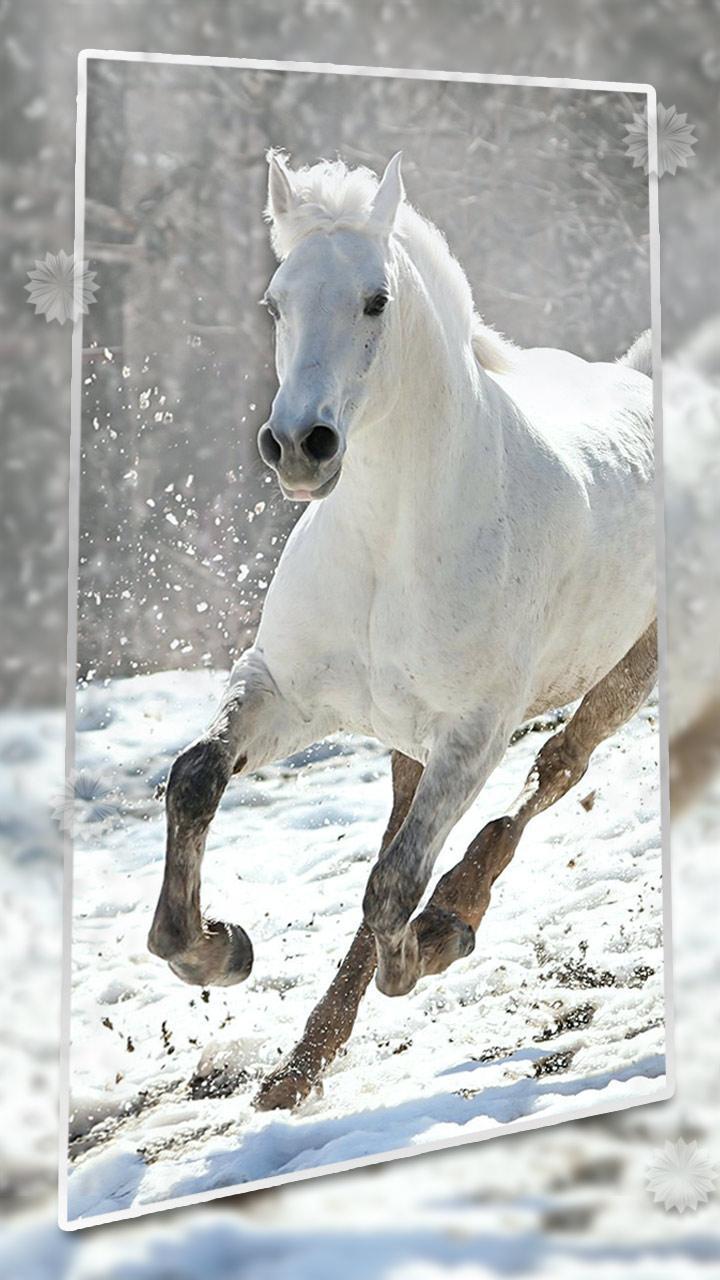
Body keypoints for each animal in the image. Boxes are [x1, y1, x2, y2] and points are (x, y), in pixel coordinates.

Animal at [148, 151, 658, 1112]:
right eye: (275, 302)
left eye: (375, 300)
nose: (298, 446)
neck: (391, 541)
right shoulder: (285, 692)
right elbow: (196, 779)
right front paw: (216, 949)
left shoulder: (473, 733)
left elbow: (392, 889)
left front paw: (433, 944)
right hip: (403, 733)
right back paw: (296, 1068)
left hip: (628, 673)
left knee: (555, 770)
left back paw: (456, 913)